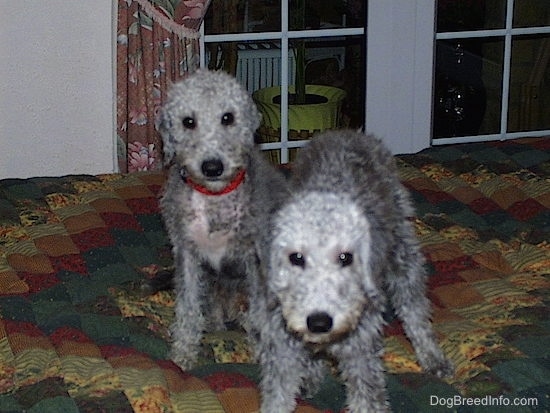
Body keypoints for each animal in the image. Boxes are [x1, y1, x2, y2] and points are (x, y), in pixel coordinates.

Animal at [157, 69, 288, 368]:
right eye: (188, 121)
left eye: (228, 117)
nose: (212, 167)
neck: (214, 198)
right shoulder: (187, 254)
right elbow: (188, 306)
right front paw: (183, 353)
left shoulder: (254, 261)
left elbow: (260, 313)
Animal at [252, 130, 454, 412]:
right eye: (296, 257)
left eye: (346, 257)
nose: (319, 322)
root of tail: (347, 133)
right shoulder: (281, 351)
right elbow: (277, 399)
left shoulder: (361, 352)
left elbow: (367, 398)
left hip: (403, 258)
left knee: (415, 313)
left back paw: (433, 357)